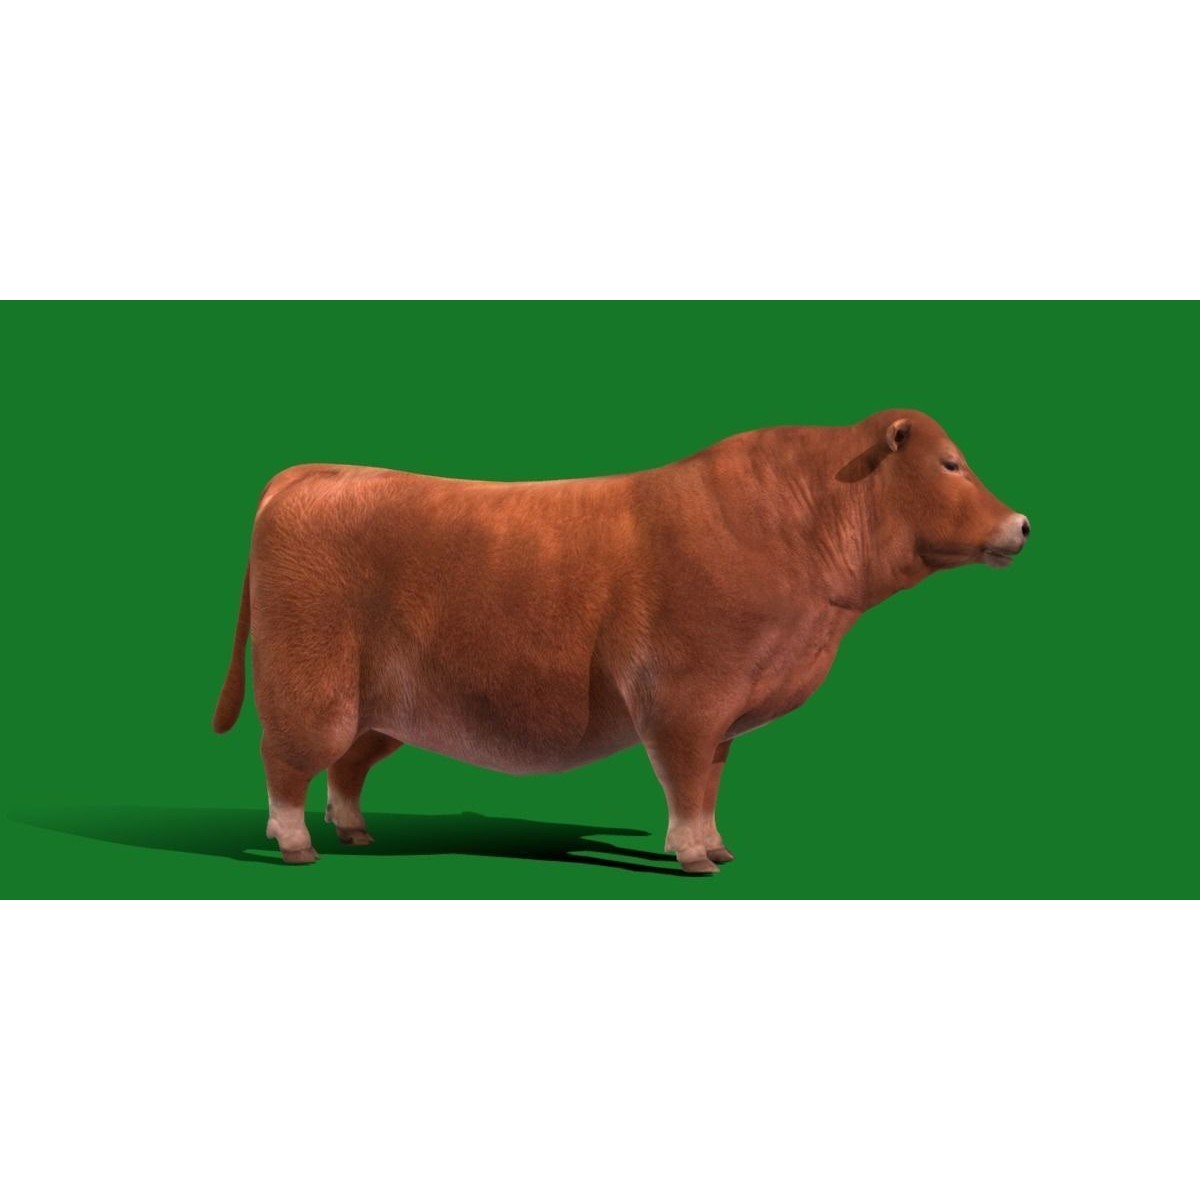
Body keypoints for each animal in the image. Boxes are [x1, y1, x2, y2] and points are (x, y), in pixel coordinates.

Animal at [213, 409, 1030, 872]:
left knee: (346, 769)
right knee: (286, 761)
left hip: (380, 707)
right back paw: (296, 846)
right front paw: (696, 858)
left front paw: (716, 846)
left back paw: (354, 833)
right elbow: (685, 782)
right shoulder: (684, 700)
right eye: (950, 463)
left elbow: (709, 786)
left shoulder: (724, 714)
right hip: (310, 684)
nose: (1022, 523)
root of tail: (313, 473)